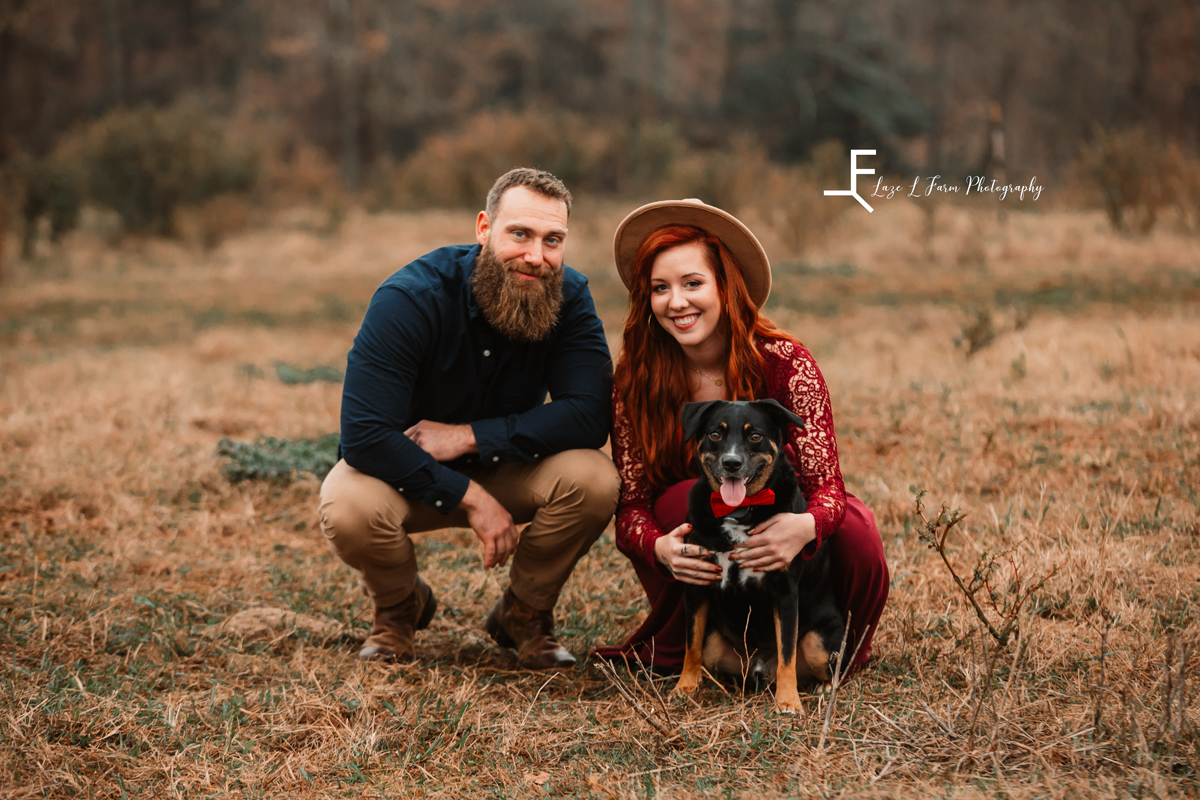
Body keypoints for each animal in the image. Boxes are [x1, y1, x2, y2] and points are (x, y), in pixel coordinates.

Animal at [676, 400, 844, 714]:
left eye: (755, 436)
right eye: (715, 434)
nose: (731, 463)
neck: (740, 510)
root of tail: (759, 668)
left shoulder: (785, 593)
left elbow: (787, 653)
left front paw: (788, 701)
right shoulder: (696, 582)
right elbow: (691, 644)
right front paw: (685, 686)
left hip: (817, 641)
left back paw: (823, 689)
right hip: (715, 645)